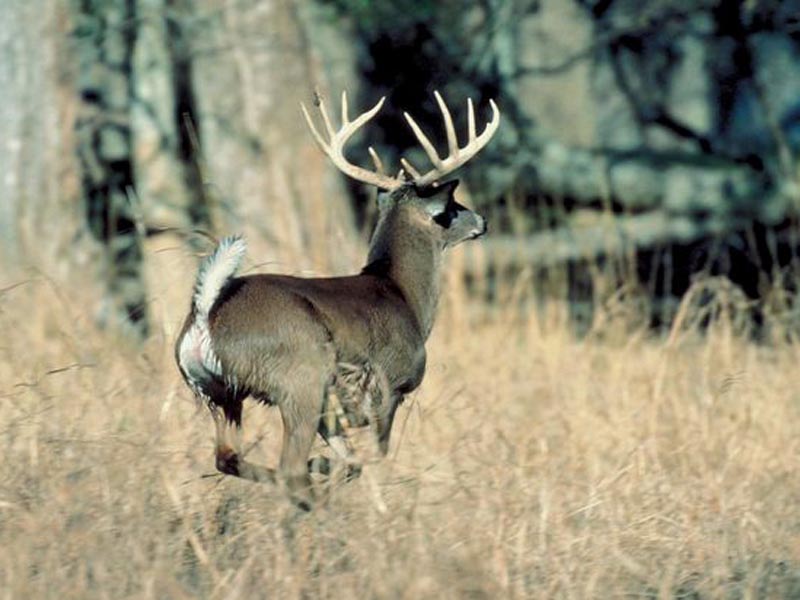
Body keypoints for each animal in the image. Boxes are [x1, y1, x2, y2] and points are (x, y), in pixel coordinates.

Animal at [175, 90, 500, 510]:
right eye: (451, 207)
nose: (482, 221)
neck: (402, 293)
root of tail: (206, 314)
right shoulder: (389, 386)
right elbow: (375, 455)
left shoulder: (335, 412)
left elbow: (354, 461)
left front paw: (327, 465)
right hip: (301, 379)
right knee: (289, 470)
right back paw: (313, 502)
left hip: (220, 393)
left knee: (228, 457)